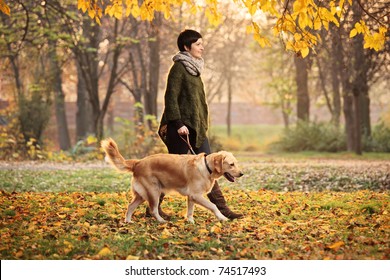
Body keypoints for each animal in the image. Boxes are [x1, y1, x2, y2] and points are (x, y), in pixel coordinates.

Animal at [100, 138, 244, 223]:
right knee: (153, 209)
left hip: (142, 194)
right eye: (231, 164)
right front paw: (222, 217)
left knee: (130, 206)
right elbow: (213, 206)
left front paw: (190, 221)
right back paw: (161, 221)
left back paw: (128, 221)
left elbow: (190, 211)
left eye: (236, 163)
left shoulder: (191, 197)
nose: (241, 174)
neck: (206, 167)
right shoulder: (196, 195)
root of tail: (138, 162)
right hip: (154, 191)